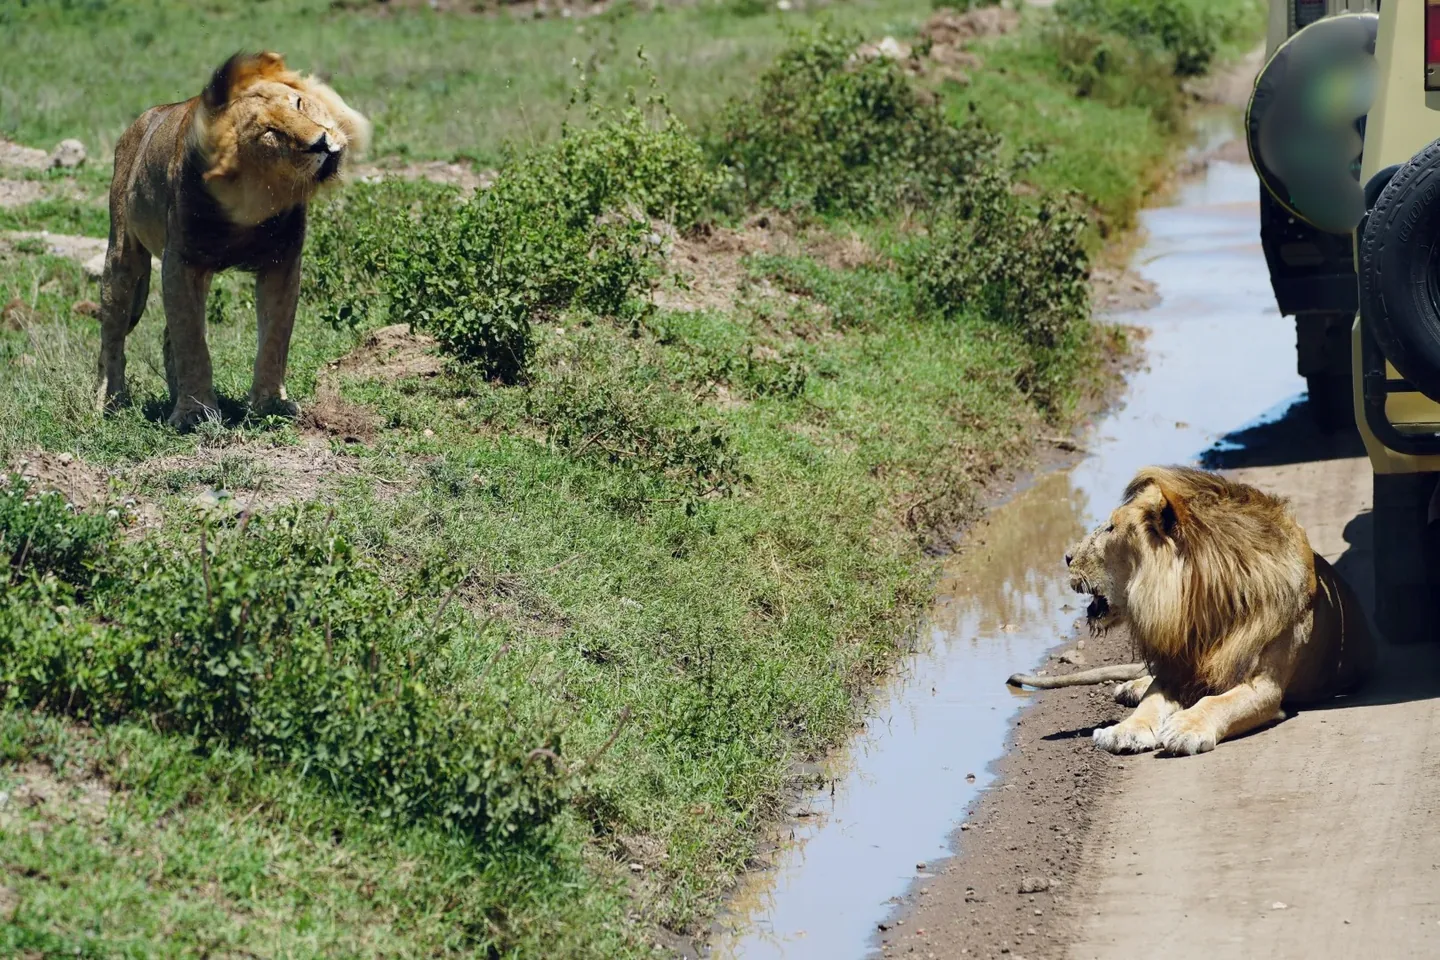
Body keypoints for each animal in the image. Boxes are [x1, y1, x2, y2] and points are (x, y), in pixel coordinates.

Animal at [95, 51, 370, 430]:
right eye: (271, 133)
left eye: (300, 104)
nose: (322, 142)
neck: (254, 197)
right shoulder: (181, 262)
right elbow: (191, 340)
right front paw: (194, 413)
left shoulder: (282, 262)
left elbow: (274, 338)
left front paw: (270, 404)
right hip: (123, 256)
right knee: (112, 334)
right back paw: (110, 402)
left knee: (166, 337)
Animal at [1030, 465, 1374, 756]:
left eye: (1111, 528)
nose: (1066, 557)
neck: (1202, 607)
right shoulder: (1177, 667)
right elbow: (1151, 700)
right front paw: (1124, 730)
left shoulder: (1265, 685)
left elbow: (1218, 703)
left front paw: (1186, 727)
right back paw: (1130, 688)